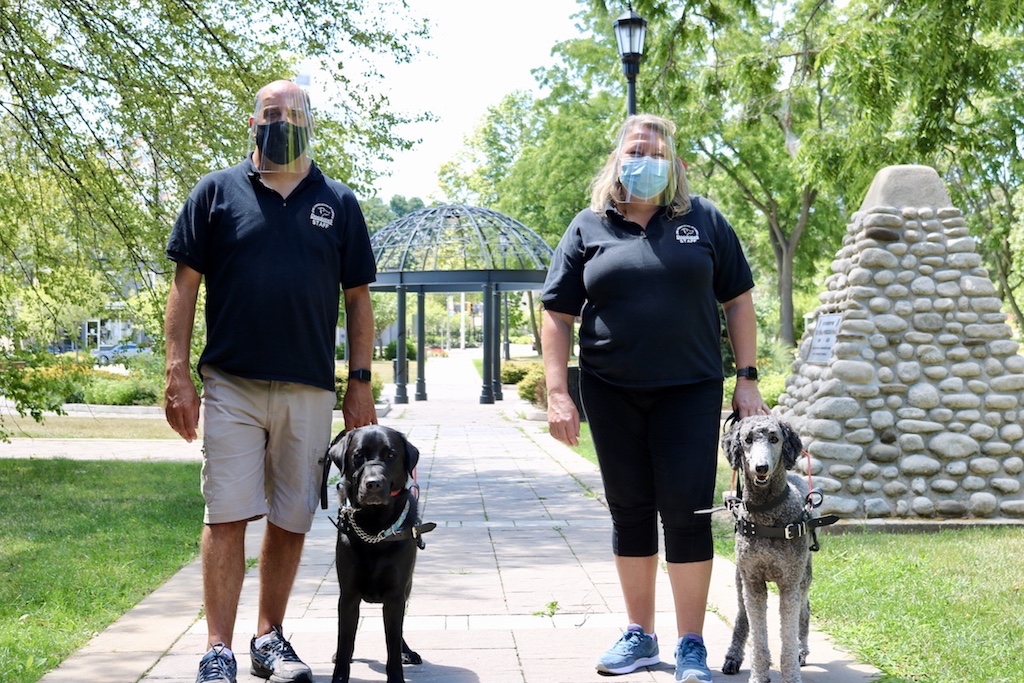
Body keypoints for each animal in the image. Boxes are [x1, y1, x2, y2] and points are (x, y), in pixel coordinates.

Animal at [323, 428, 428, 683]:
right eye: (358, 455)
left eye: (391, 455)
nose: (373, 484)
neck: (374, 528)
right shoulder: (348, 596)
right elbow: (345, 642)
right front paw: (339, 677)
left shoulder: (395, 596)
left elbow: (392, 642)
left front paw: (397, 676)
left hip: (406, 589)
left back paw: (407, 652)